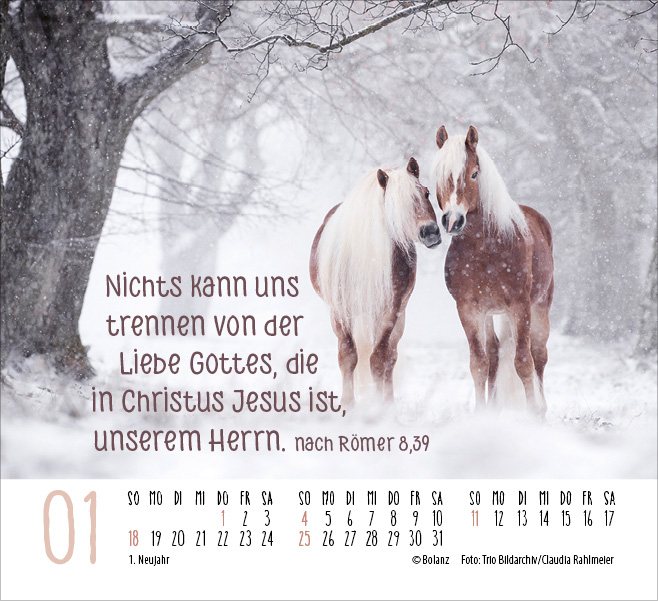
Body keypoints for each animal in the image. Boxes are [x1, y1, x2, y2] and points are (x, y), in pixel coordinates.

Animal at [310, 157, 441, 406]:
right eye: (394, 204)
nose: (430, 232)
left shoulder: (389, 311)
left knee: (390, 357)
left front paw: (381, 406)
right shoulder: (340, 311)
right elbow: (348, 356)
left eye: (427, 193)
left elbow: (379, 359)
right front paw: (348, 404)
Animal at [432, 126, 554, 415]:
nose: (453, 221)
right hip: (489, 313)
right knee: (496, 353)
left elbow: (523, 361)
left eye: (474, 173)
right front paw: (481, 413)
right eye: (439, 174)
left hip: (540, 306)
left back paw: (542, 407)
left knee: (539, 355)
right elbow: (479, 363)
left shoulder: (519, 306)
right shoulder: (468, 309)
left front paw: (534, 413)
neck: (486, 249)